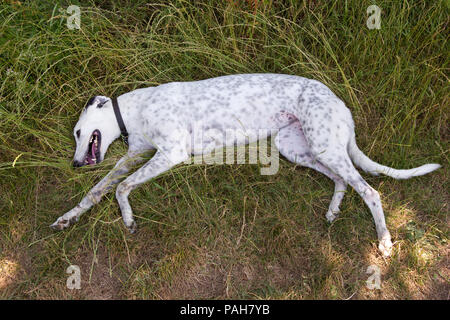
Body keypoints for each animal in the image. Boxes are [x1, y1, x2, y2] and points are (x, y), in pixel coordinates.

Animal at [49, 74, 440, 256]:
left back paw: (384, 242)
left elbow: (121, 187)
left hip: (324, 147)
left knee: (370, 191)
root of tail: (341, 104)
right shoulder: (135, 155)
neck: (135, 110)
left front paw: (128, 218)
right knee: (341, 181)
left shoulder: (171, 153)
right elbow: (97, 190)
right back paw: (332, 210)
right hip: (299, 148)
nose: (75, 163)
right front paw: (68, 217)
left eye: (79, 132)